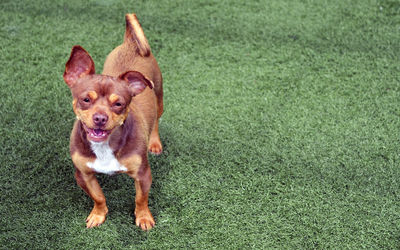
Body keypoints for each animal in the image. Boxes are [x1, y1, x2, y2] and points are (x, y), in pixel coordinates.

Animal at [62, 12, 162, 229]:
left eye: (118, 104)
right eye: (86, 99)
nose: (100, 118)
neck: (105, 146)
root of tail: (130, 43)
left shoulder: (143, 174)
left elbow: (141, 198)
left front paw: (143, 218)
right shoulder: (83, 174)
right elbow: (98, 197)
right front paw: (98, 215)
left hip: (159, 97)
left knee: (156, 121)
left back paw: (155, 143)